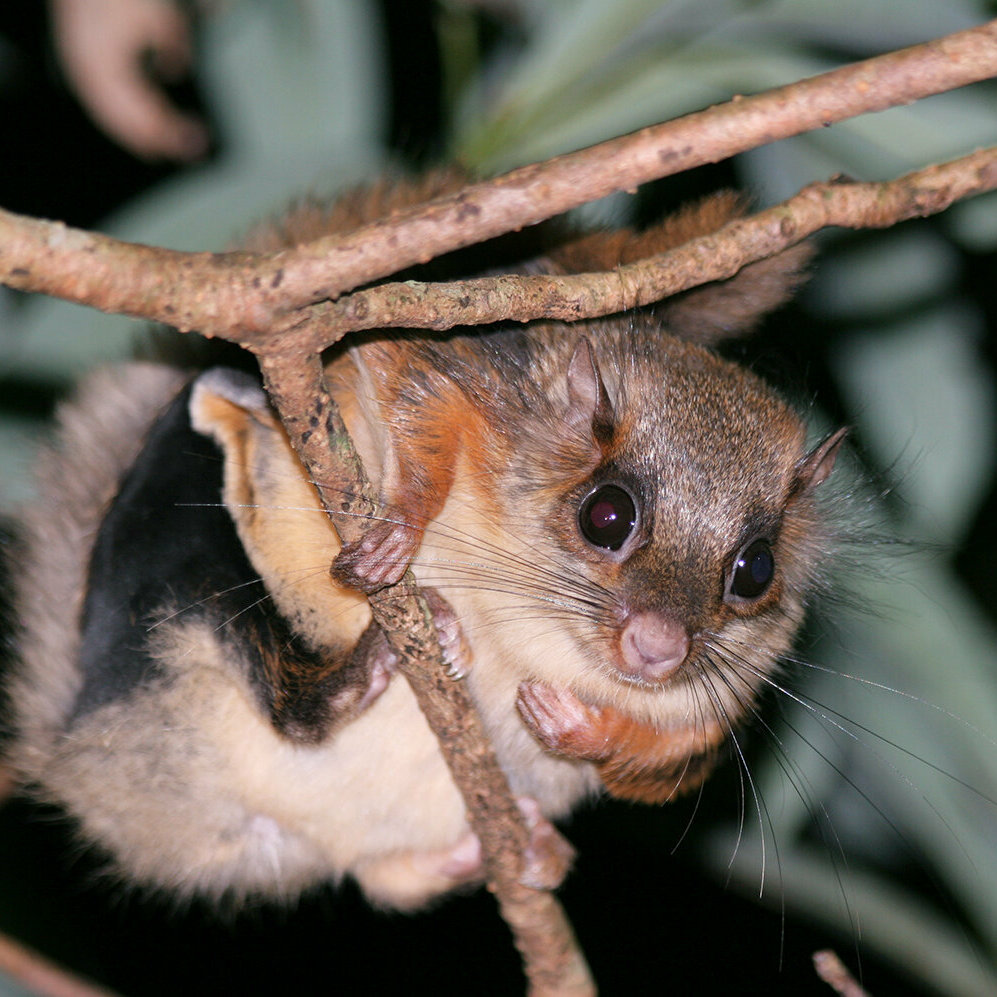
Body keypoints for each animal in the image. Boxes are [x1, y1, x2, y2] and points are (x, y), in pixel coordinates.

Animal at [5, 171, 844, 910]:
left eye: (755, 569)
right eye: (606, 516)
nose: (658, 647)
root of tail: (80, 756)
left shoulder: (719, 704)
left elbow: (672, 763)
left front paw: (574, 724)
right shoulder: (431, 368)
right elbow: (390, 397)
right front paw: (405, 546)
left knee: (388, 883)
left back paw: (523, 849)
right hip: (178, 571)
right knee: (271, 673)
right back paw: (363, 665)